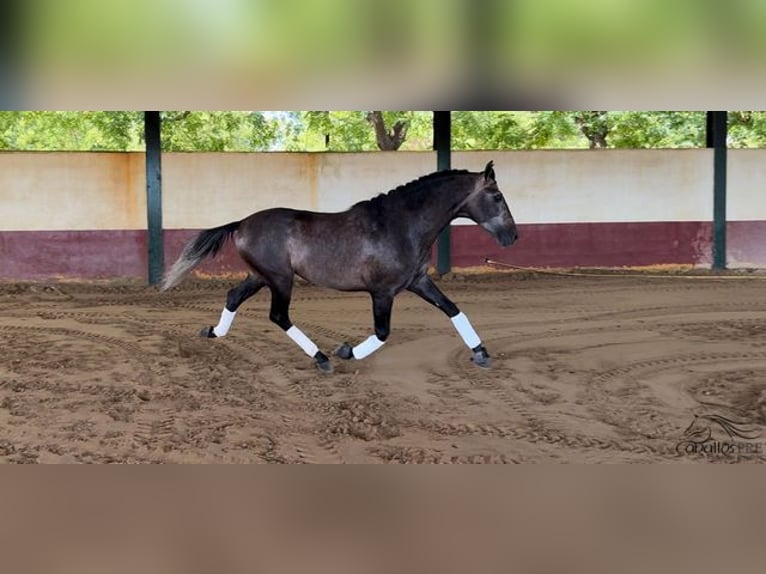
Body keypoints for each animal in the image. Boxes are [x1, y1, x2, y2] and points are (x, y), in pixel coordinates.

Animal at [164, 162, 520, 376]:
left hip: (260, 276)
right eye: (497, 196)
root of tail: (241, 223)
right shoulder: (382, 291)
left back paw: (212, 332)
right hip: (280, 279)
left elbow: (452, 309)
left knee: (233, 297)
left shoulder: (418, 281)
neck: (401, 225)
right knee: (278, 316)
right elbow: (382, 332)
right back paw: (321, 359)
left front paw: (481, 353)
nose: (513, 236)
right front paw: (346, 351)